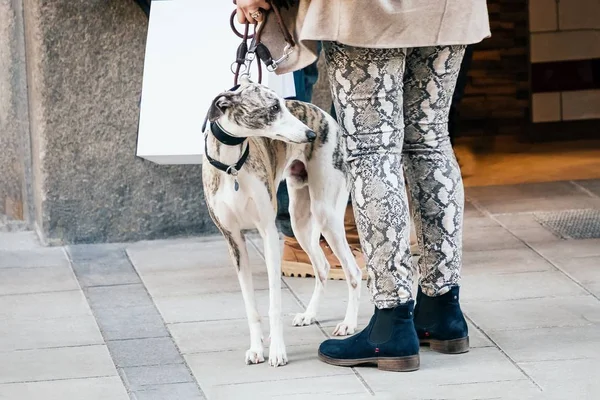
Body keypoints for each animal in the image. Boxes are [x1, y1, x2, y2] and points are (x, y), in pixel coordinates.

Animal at [203, 77, 360, 366]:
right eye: (274, 107)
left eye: (283, 105)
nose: (310, 135)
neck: (232, 167)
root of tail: (325, 115)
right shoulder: (234, 241)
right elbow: (250, 306)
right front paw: (256, 349)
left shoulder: (267, 233)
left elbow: (274, 304)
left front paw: (277, 351)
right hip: (299, 220)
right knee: (322, 266)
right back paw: (309, 314)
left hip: (327, 214)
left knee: (352, 271)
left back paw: (348, 323)